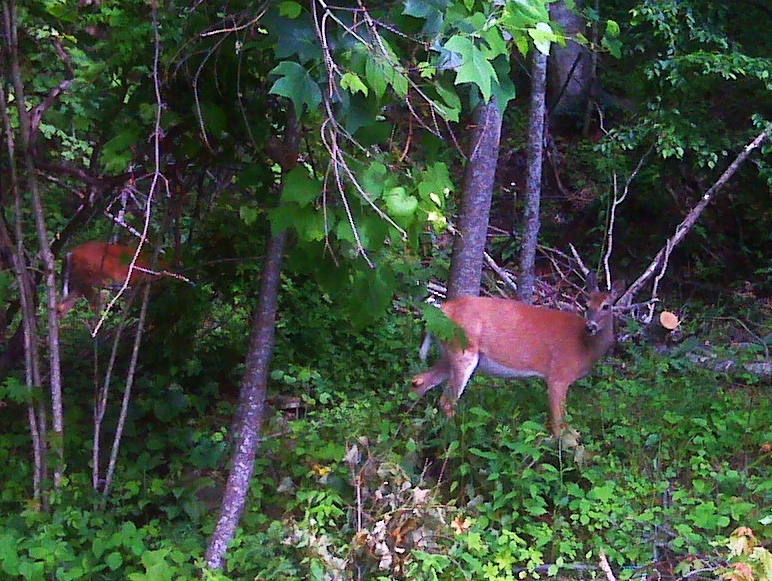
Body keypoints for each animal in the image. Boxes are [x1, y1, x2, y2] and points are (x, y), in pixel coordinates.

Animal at [410, 274, 620, 438]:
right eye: (586, 304)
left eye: (606, 306)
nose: (591, 326)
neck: (584, 346)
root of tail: (441, 310)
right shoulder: (558, 375)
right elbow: (559, 423)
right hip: (463, 351)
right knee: (446, 401)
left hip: (448, 354)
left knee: (419, 381)